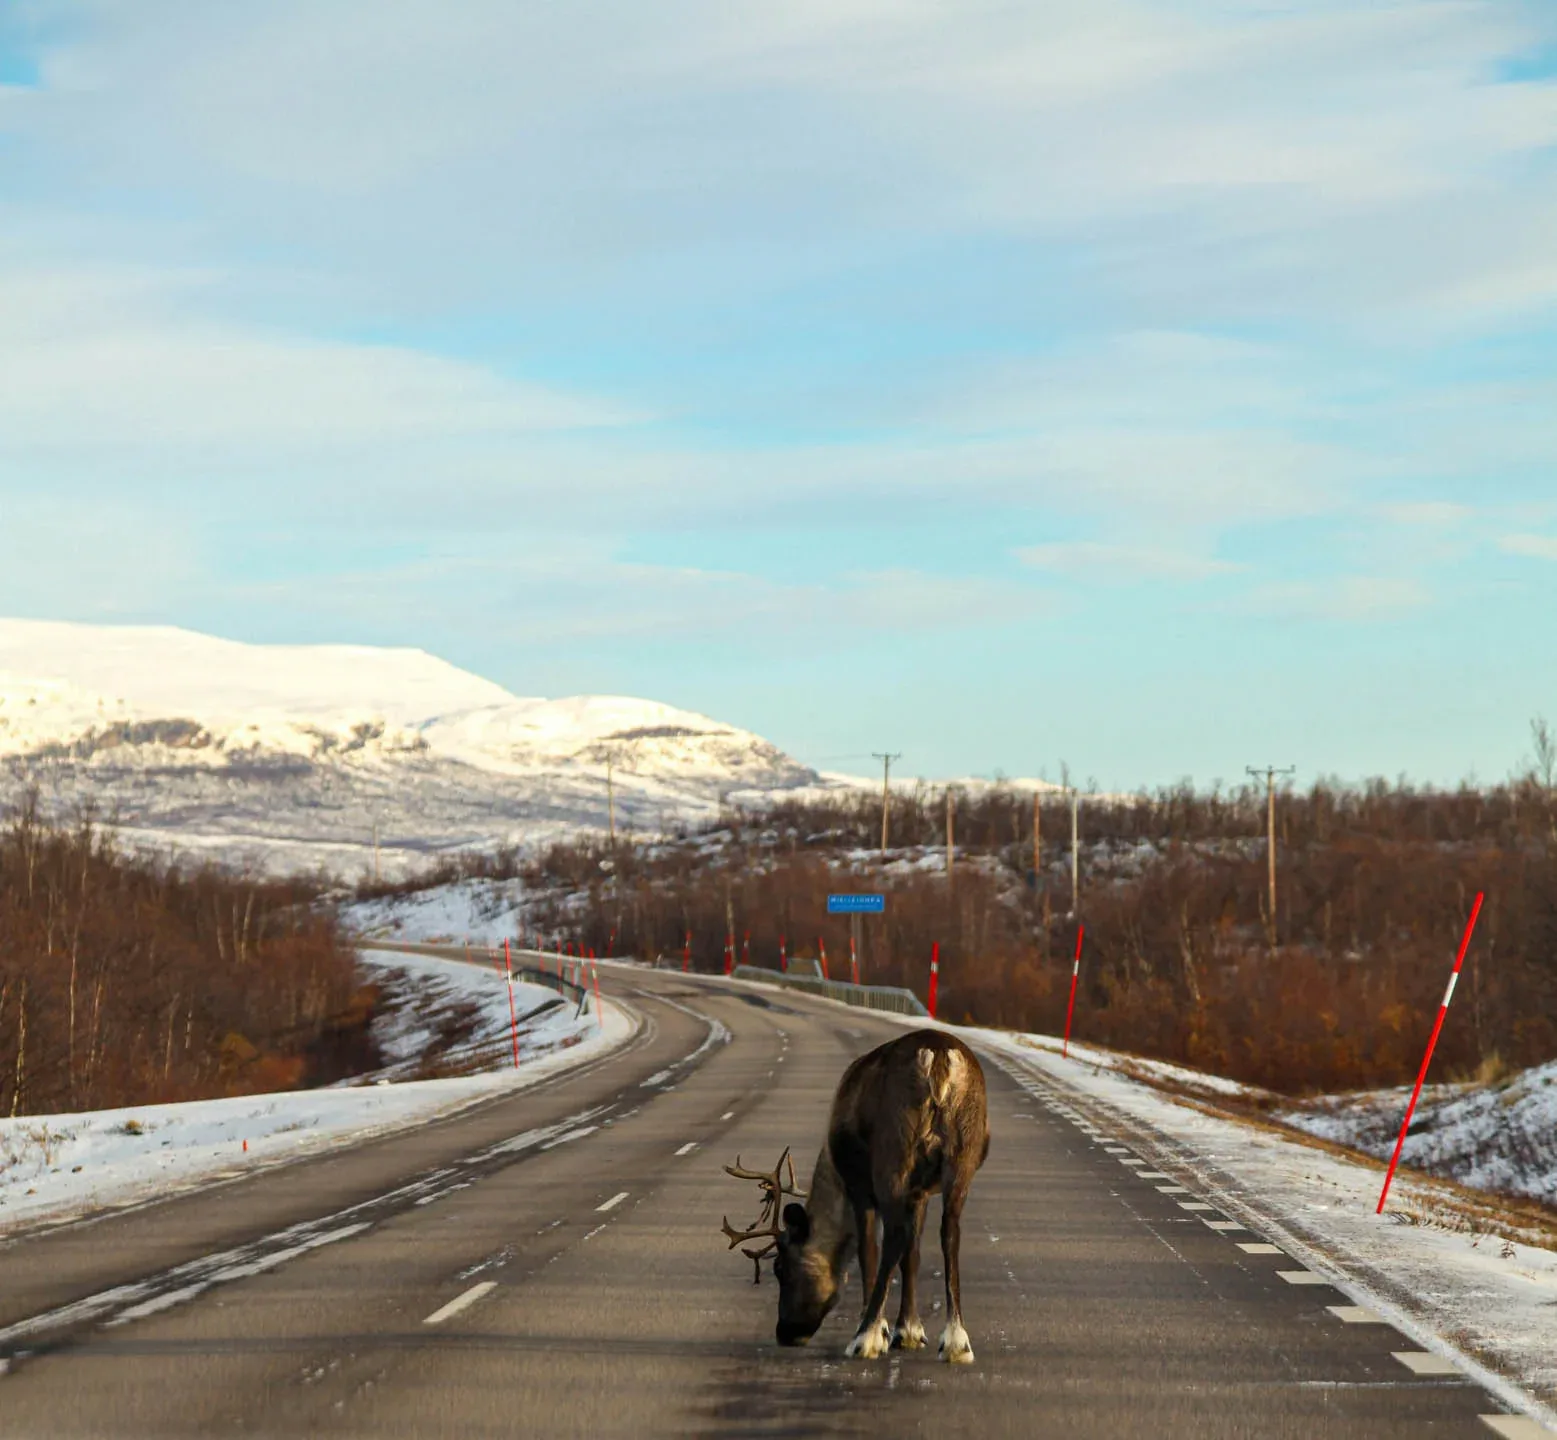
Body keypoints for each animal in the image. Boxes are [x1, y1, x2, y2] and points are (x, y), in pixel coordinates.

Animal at [721, 1028, 989, 1363]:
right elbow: (912, 1256)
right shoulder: (921, 1192)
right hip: (962, 1157)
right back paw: (956, 1341)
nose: (785, 1333)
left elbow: (867, 1251)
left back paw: (864, 1337)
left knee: (893, 1237)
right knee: (949, 1232)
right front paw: (909, 1331)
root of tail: (938, 1056)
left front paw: (882, 1331)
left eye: (780, 1267)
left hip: (893, 1155)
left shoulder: (859, 1187)